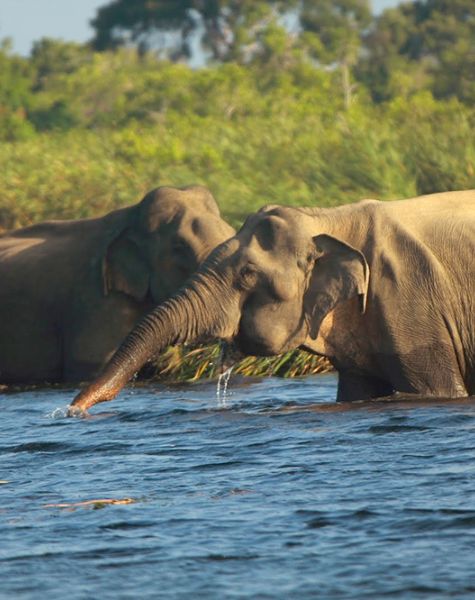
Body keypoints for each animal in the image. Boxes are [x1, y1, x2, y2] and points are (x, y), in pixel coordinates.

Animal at [69, 189, 475, 412]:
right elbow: (357, 391)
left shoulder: (410, 299)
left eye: (247, 274)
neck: (328, 218)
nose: (73, 409)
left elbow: (434, 389)